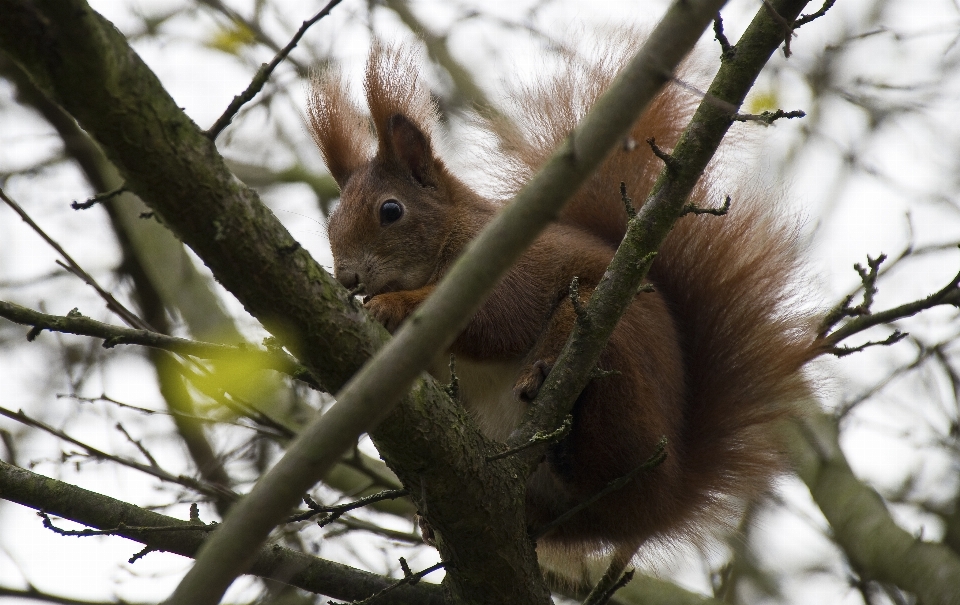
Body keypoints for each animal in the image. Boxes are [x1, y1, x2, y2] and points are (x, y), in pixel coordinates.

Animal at [308, 42, 816, 568]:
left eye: (391, 211)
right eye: (331, 221)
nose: (347, 277)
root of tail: (665, 499)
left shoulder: (512, 264)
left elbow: (499, 319)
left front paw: (391, 304)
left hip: (614, 345)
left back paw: (554, 397)